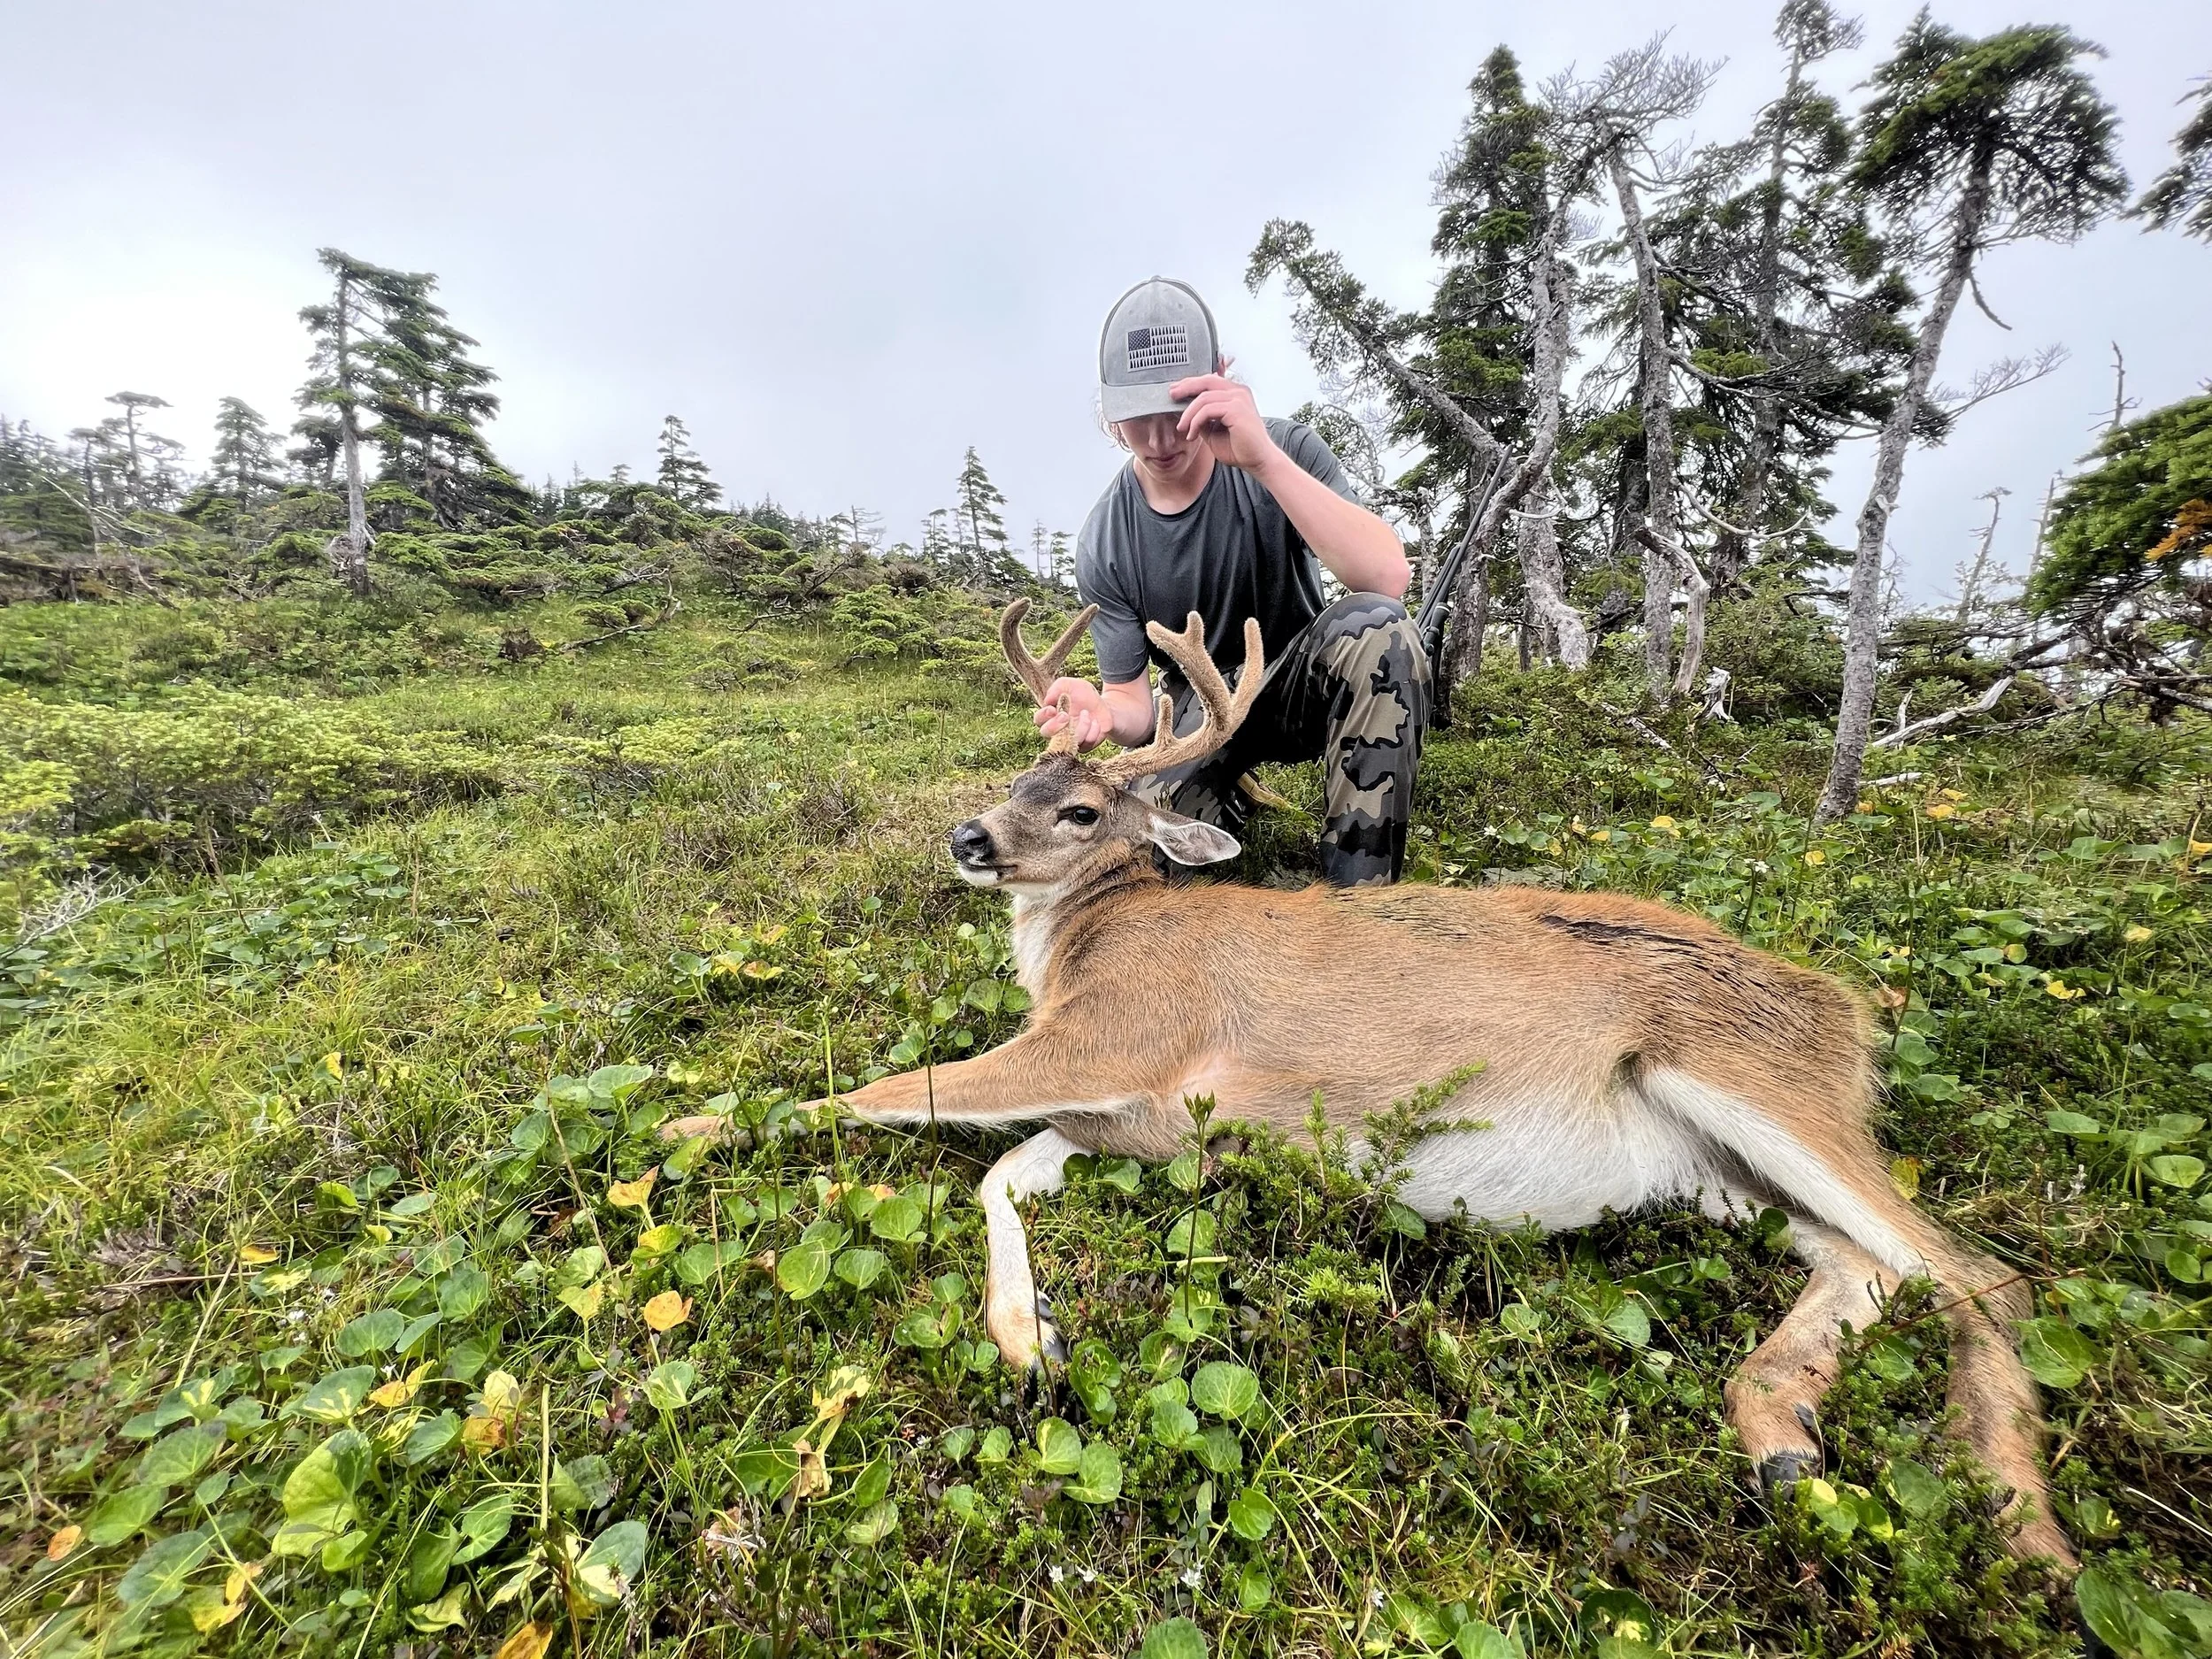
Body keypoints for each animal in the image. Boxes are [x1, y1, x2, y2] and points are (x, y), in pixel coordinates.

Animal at [665, 599, 2071, 1570]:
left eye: (1078, 810)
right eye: (1019, 780)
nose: (966, 837)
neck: (1088, 940)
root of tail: (1852, 1009)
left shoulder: (1121, 1035)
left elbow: (888, 1093)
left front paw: (689, 1118)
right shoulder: (1124, 1114)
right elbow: (1000, 1175)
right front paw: (1030, 1341)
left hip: (1757, 1076)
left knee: (1982, 1275)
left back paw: (2027, 1534)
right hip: (1719, 1169)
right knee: (1871, 1264)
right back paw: (1785, 1442)